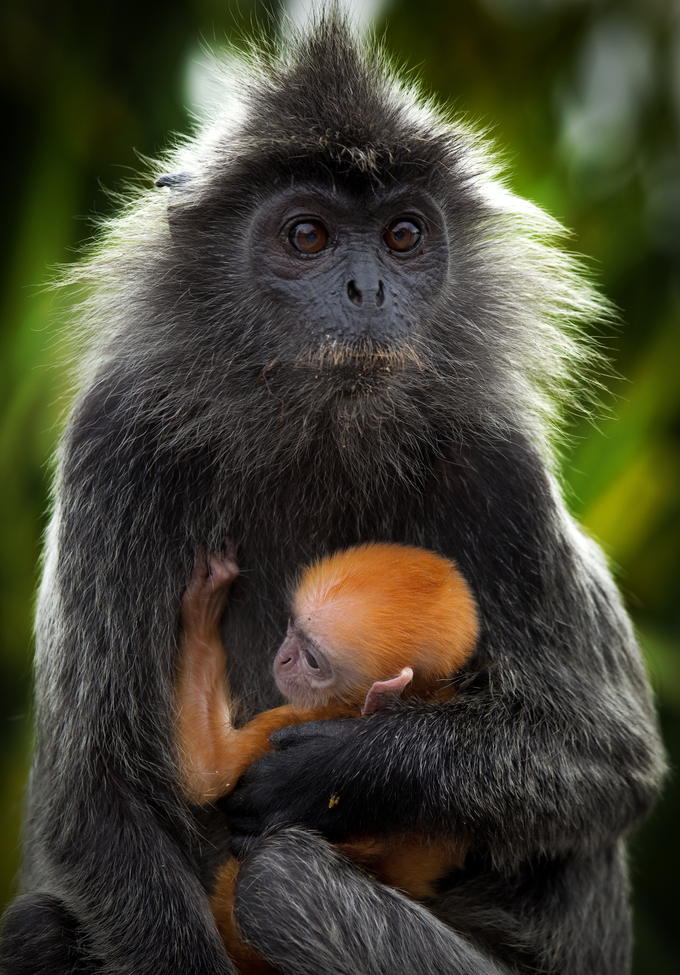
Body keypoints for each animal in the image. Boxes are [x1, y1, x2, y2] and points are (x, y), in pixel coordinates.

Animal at [175, 541, 478, 974]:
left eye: (313, 660)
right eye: (291, 628)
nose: (284, 657)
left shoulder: (305, 716)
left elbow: (206, 772)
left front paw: (203, 610)